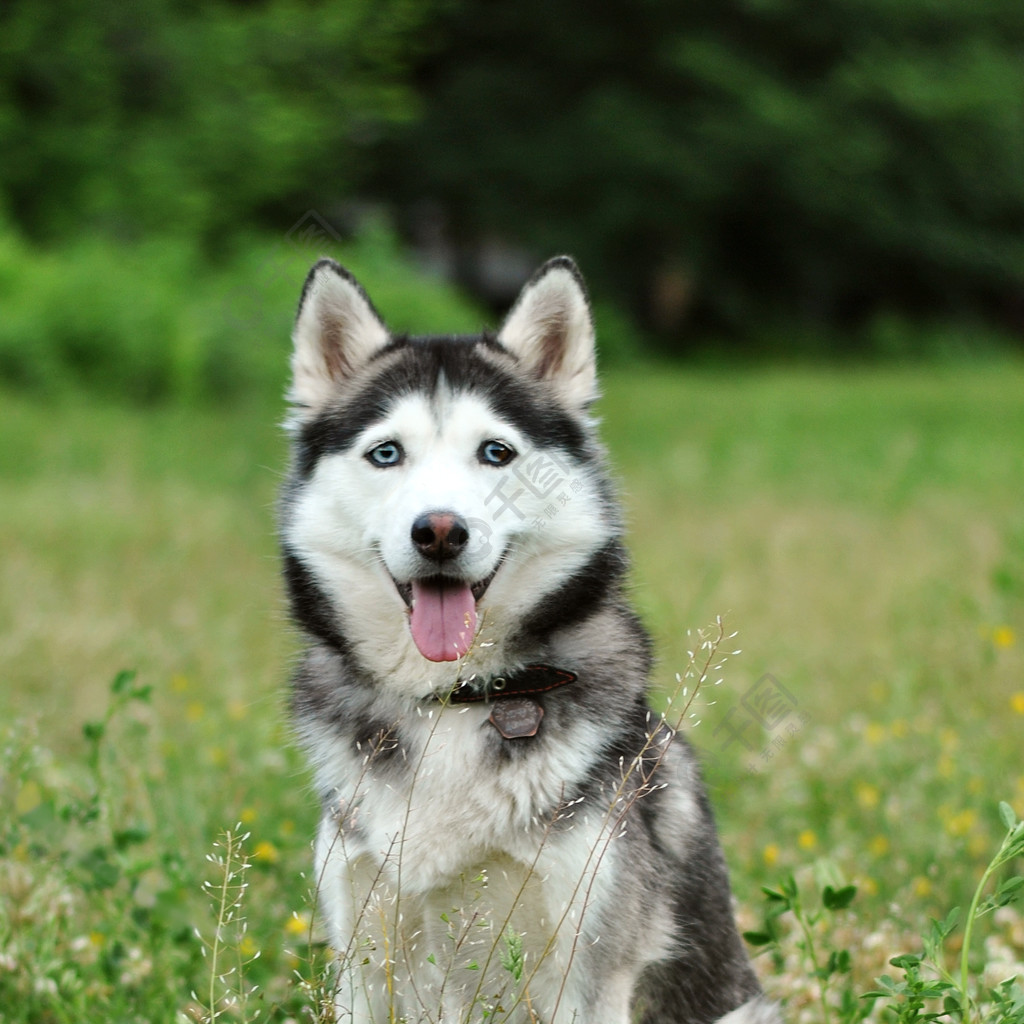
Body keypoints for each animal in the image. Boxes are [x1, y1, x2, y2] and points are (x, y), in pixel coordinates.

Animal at [280, 258, 774, 1024]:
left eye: (496, 452)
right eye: (386, 453)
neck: (453, 701)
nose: (440, 531)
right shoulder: (362, 950)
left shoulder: (588, 962)